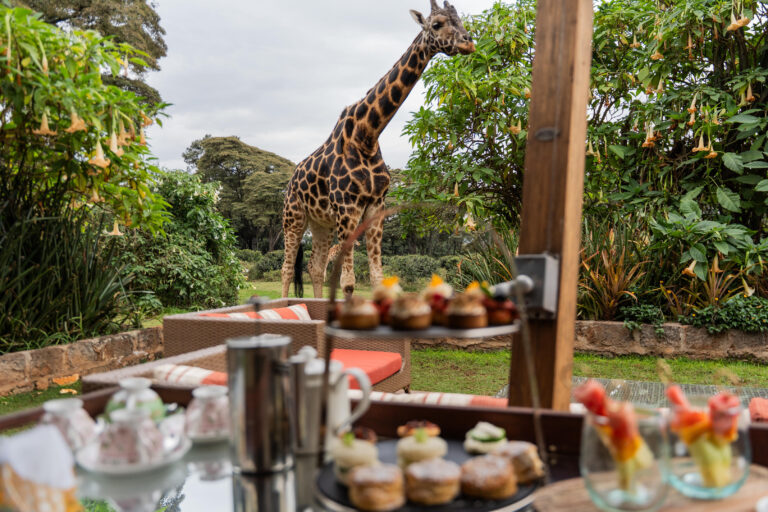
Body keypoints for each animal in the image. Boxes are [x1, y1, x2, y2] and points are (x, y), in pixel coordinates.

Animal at [281, 0, 475, 299]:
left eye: (461, 20)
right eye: (436, 24)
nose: (468, 43)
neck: (367, 135)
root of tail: (291, 180)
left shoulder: (375, 207)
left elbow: (376, 278)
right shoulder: (347, 207)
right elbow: (348, 283)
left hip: (321, 223)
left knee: (315, 267)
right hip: (293, 218)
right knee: (288, 269)